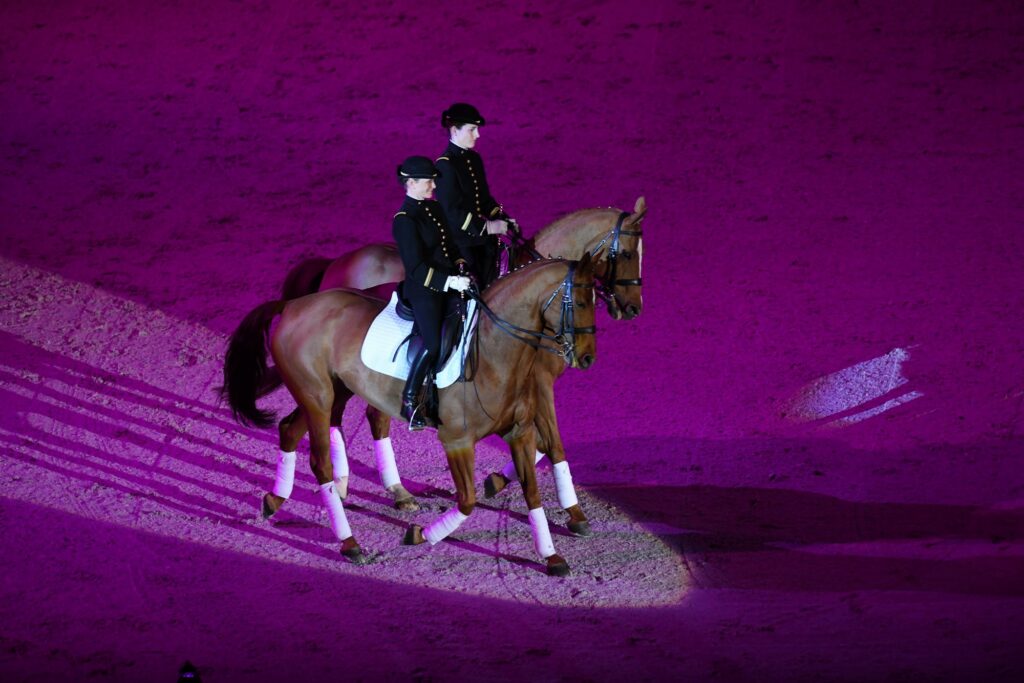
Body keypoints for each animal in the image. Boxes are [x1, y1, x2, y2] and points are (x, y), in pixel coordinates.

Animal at [220, 255, 598, 577]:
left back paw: (274, 500)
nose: (587, 358)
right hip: (317, 397)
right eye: (579, 303)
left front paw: (552, 556)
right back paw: (350, 543)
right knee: (320, 462)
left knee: (288, 429)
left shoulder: (520, 432)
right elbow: (467, 501)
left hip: (331, 393)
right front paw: (421, 535)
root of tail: (294, 305)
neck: (494, 352)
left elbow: (532, 491)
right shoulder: (456, 441)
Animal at [268, 194, 643, 532]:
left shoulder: (526, 389)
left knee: (350, 418)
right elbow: (553, 443)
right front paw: (573, 512)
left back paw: (378, 490)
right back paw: (361, 487)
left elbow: (538, 443)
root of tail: (334, 266)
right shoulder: (538, 382)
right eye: (626, 254)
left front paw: (498, 481)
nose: (633, 308)